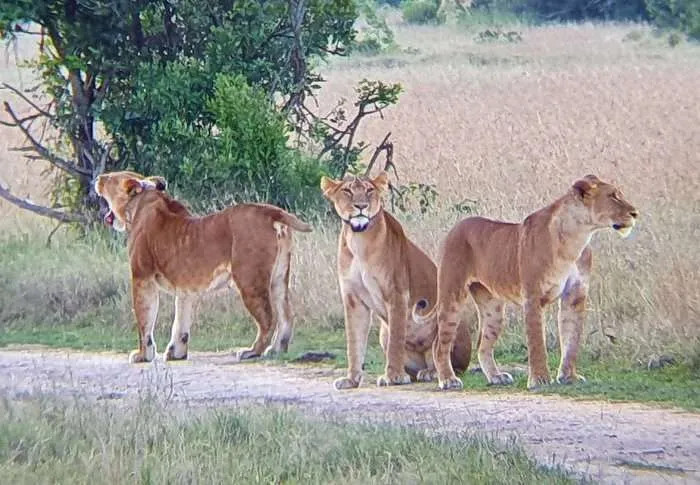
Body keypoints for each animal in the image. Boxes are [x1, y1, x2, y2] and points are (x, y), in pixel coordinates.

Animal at [95, 170, 312, 363]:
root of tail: (269, 210)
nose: (98, 178)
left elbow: (144, 321)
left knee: (268, 318)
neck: (140, 204)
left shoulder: (142, 278)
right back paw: (276, 349)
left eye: (109, 178)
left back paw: (252, 352)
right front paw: (176, 353)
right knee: (286, 315)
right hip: (278, 279)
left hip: (250, 280)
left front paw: (142, 356)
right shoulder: (184, 287)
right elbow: (180, 322)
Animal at [320, 172, 471, 389]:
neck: (359, 240)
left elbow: (396, 341)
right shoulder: (353, 299)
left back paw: (432, 373)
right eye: (347, 191)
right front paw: (351, 379)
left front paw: (394, 376)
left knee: (445, 357)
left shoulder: (397, 294)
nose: (361, 206)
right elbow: (354, 343)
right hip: (383, 332)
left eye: (369, 190)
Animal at [415, 174, 638, 390]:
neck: (578, 237)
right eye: (613, 196)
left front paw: (568, 377)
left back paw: (496, 377)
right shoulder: (533, 296)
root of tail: (456, 227)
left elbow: (572, 339)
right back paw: (448, 380)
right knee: (439, 343)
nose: (635, 213)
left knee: (483, 346)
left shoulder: (575, 295)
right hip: (452, 294)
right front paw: (539, 379)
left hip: (493, 308)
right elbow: (537, 342)